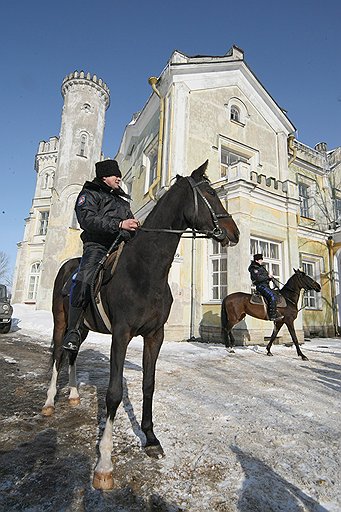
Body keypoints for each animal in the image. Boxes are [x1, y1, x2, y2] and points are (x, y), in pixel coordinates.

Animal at [41, 162, 239, 490]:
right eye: (211, 193)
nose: (234, 233)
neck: (145, 270)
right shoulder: (120, 335)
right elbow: (113, 393)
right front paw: (104, 464)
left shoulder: (154, 336)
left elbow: (149, 384)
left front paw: (151, 439)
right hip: (61, 322)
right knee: (58, 354)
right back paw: (49, 402)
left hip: (81, 329)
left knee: (72, 353)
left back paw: (73, 395)